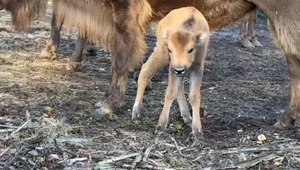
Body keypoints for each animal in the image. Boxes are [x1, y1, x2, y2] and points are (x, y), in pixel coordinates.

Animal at [132, 6, 210, 138]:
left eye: (191, 49)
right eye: (170, 49)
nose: (179, 69)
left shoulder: (197, 67)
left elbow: (194, 96)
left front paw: (197, 131)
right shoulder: (172, 67)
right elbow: (171, 91)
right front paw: (160, 126)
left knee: (180, 87)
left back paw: (187, 118)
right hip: (161, 54)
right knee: (145, 70)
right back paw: (136, 113)